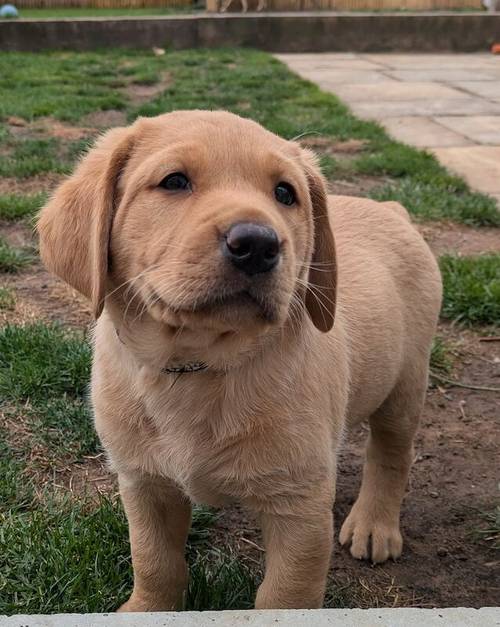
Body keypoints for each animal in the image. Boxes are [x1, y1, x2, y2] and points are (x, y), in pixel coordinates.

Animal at [37, 110, 440, 612]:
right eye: (174, 181)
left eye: (285, 193)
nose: (258, 244)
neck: (197, 366)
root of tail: (391, 208)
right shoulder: (143, 482)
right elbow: (153, 559)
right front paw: (147, 608)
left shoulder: (301, 504)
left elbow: (286, 593)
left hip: (405, 383)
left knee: (391, 454)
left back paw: (374, 525)